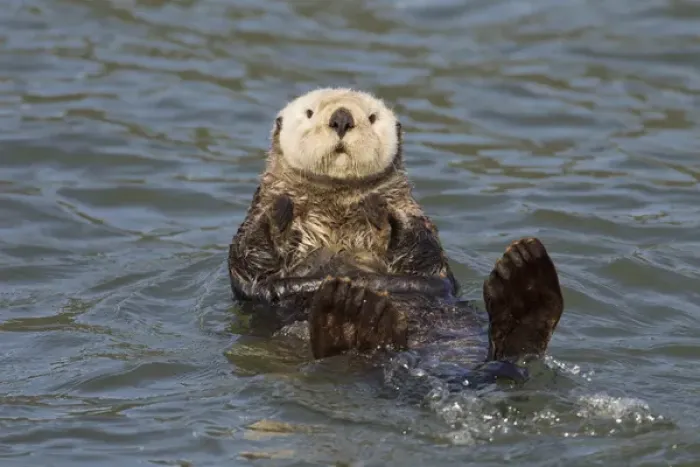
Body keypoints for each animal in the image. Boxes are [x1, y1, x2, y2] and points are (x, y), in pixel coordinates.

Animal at [227, 88, 564, 385]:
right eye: (309, 113)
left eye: (372, 117)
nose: (341, 118)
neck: (337, 212)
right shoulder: (254, 223)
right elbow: (249, 256)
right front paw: (280, 211)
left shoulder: (416, 218)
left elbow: (422, 250)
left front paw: (382, 211)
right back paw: (351, 314)